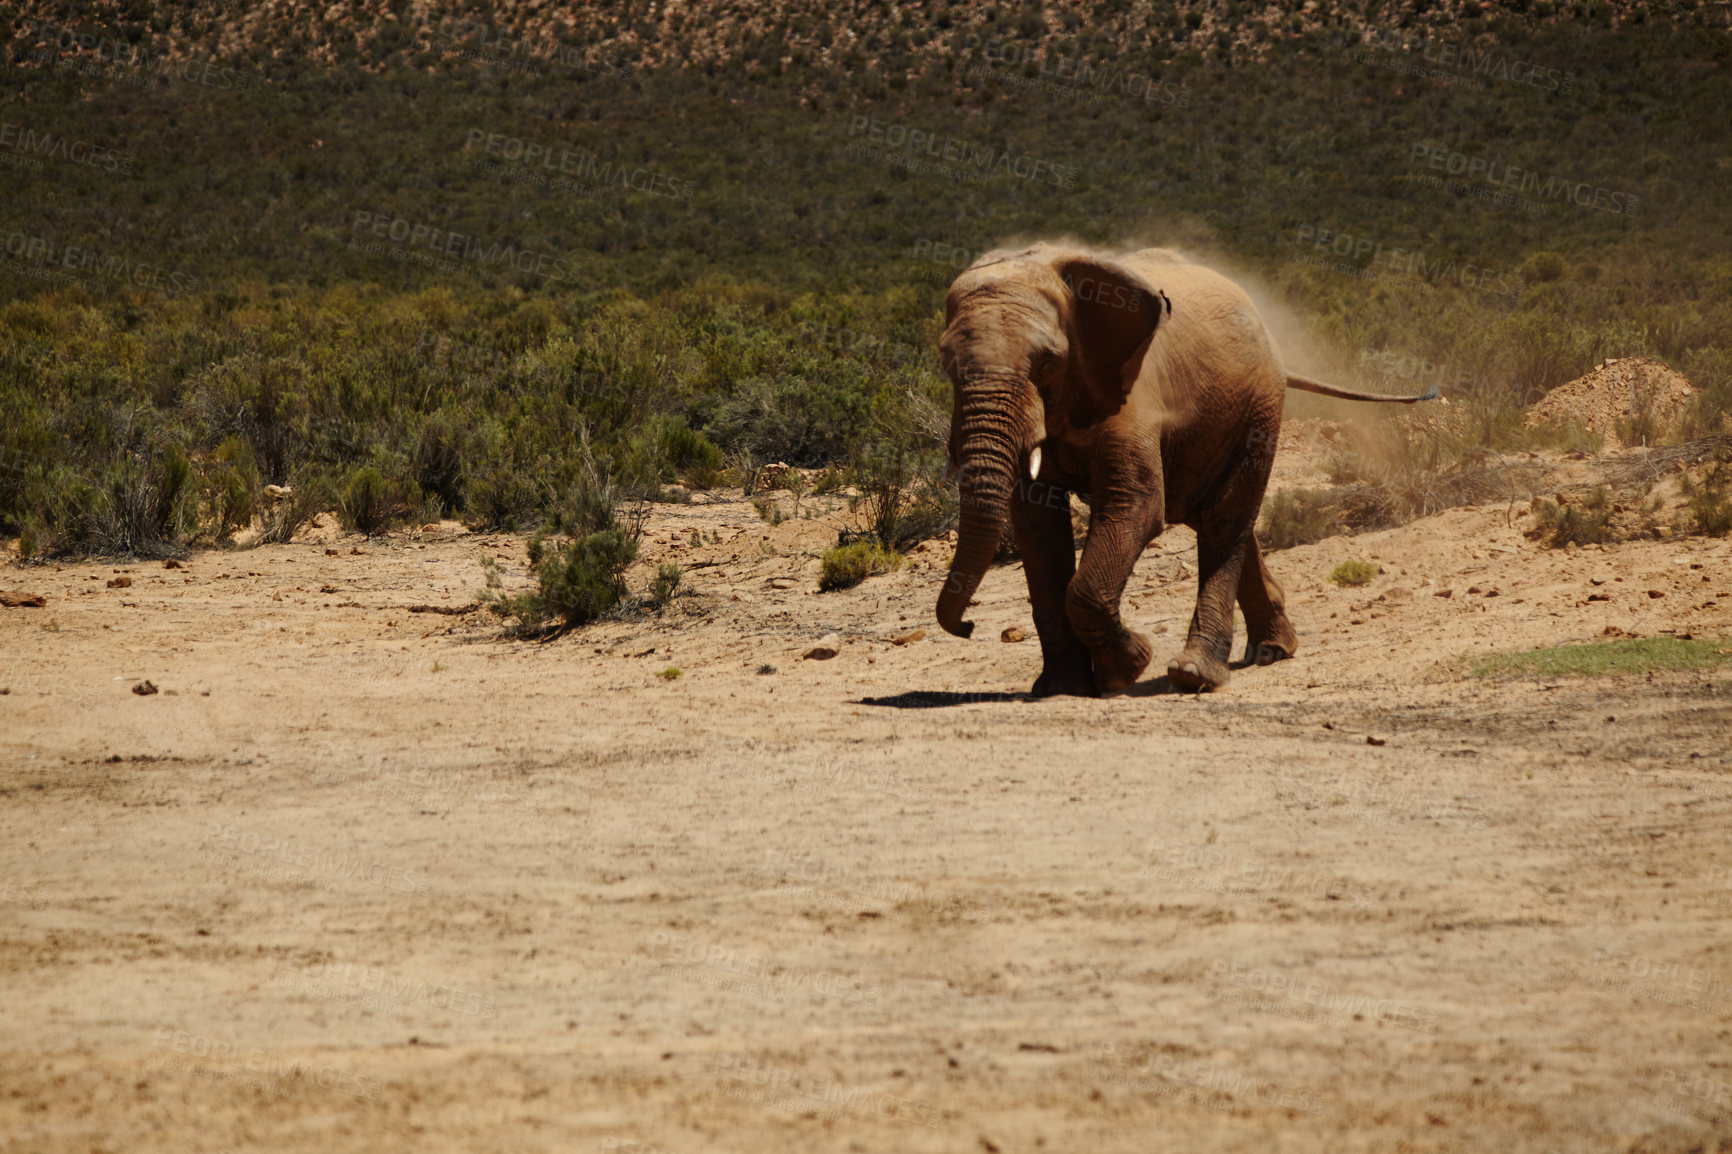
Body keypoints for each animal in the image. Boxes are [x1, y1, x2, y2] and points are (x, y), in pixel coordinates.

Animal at [935, 242, 1434, 693]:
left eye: (1046, 364)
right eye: (946, 363)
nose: (969, 628)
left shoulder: (1130, 393)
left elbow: (1134, 508)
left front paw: (1130, 667)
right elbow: (1037, 528)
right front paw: (1061, 688)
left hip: (1259, 406)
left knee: (1223, 518)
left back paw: (1195, 674)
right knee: (1217, 515)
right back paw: (1274, 649)